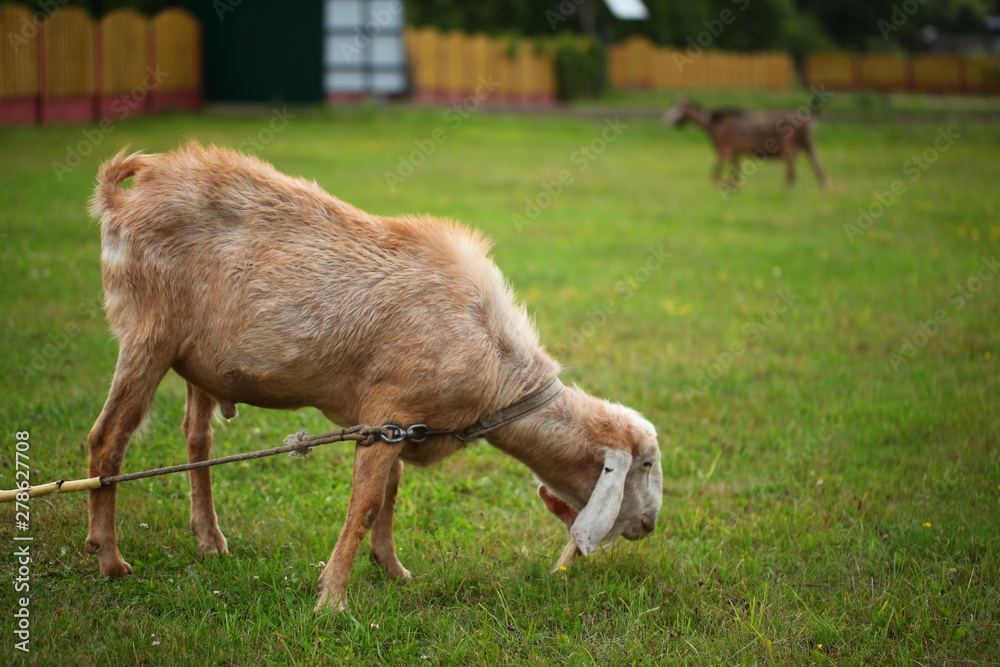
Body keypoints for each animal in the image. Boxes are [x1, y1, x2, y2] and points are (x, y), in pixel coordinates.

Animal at [86, 143, 663, 611]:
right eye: (645, 464)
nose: (650, 525)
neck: (495, 358)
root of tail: (124, 195)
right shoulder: (389, 411)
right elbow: (364, 505)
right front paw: (332, 601)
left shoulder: (400, 423)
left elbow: (390, 493)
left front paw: (392, 571)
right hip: (147, 333)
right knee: (107, 439)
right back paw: (108, 558)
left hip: (193, 360)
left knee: (196, 441)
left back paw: (209, 540)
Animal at [663, 97, 827, 189]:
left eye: (675, 109)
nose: (667, 121)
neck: (713, 123)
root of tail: (810, 119)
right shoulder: (735, 152)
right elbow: (735, 175)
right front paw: (733, 187)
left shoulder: (724, 151)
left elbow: (714, 174)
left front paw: (725, 187)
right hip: (808, 144)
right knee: (817, 167)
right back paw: (824, 188)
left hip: (789, 146)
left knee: (792, 173)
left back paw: (789, 189)